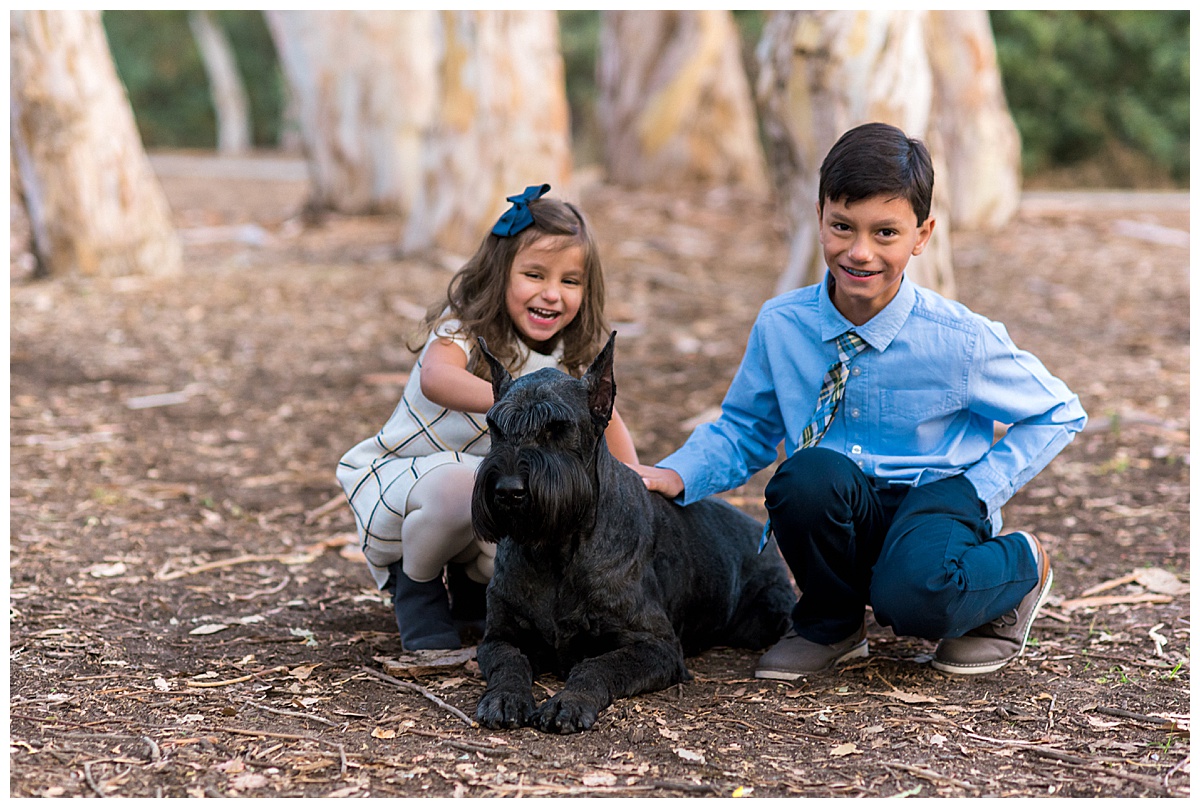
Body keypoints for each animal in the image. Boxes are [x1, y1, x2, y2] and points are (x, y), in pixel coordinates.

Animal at [470, 331, 796, 729]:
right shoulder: (499, 637)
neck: (557, 549)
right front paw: (505, 698)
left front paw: (569, 702)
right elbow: (509, 664)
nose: (507, 490)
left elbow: (596, 666)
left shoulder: (655, 646)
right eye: (495, 427)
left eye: (558, 428)